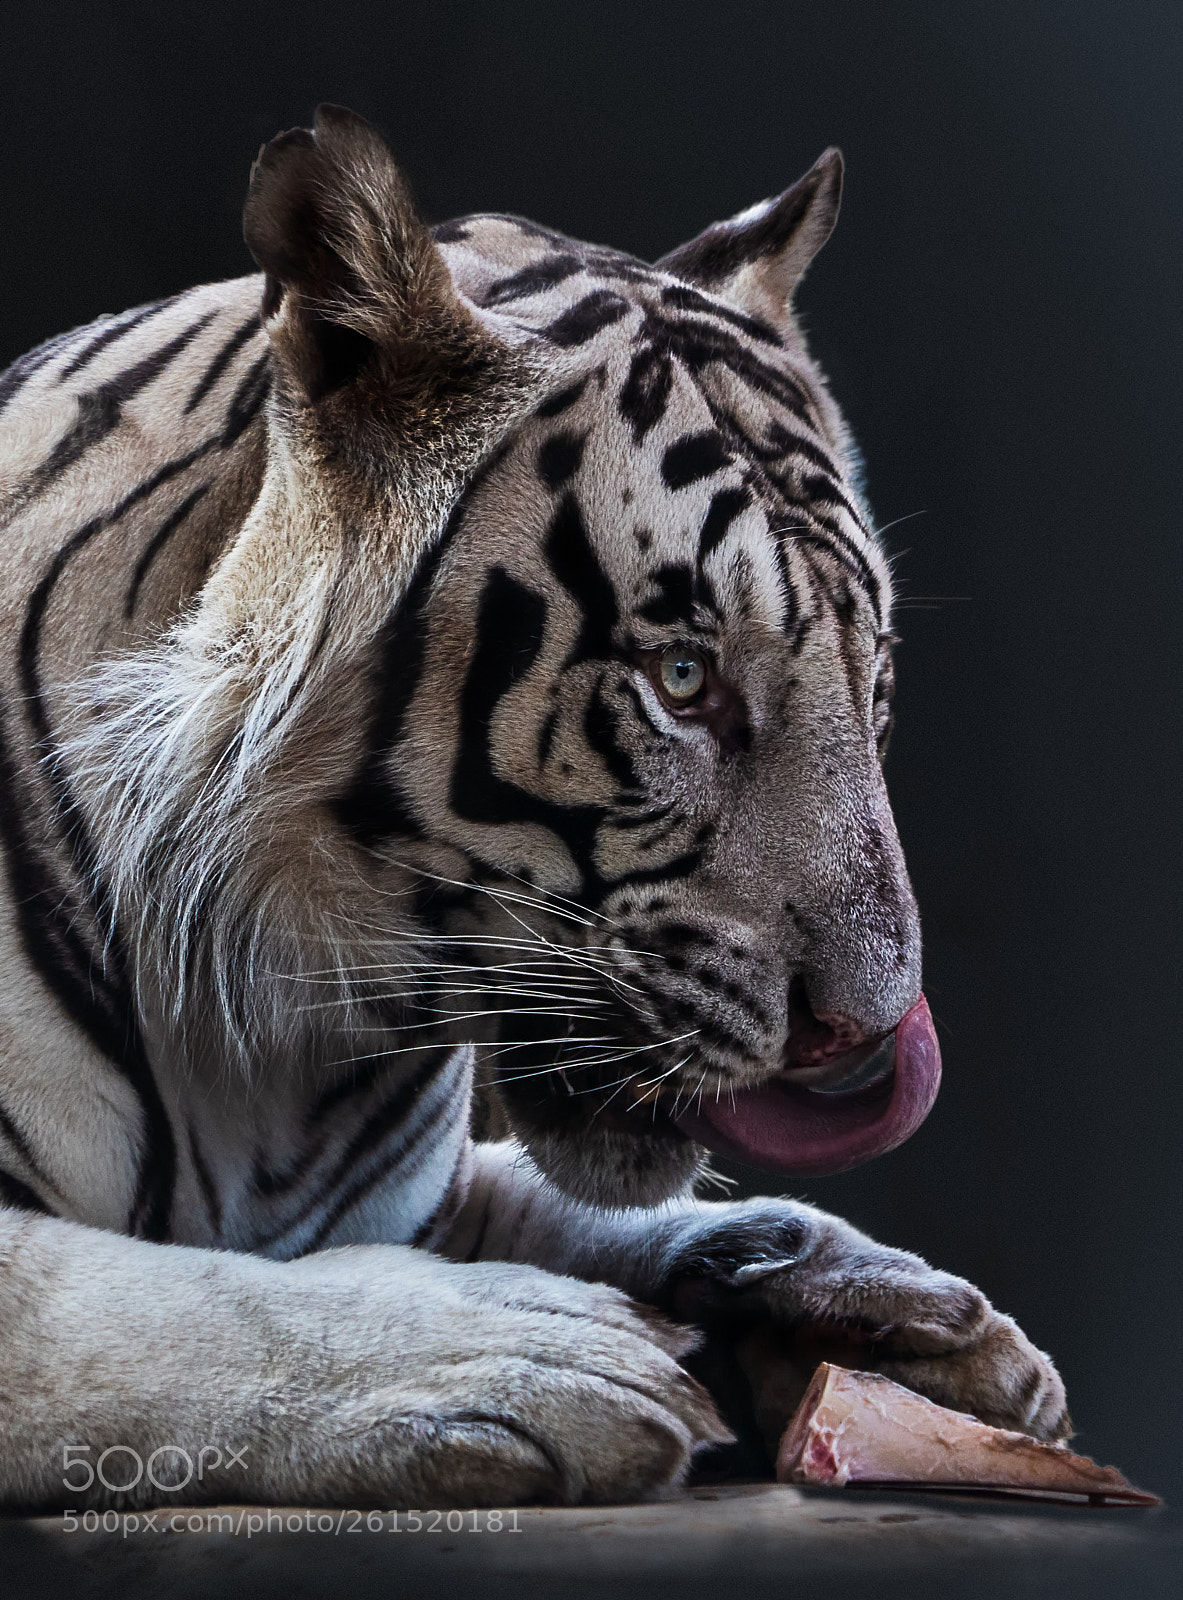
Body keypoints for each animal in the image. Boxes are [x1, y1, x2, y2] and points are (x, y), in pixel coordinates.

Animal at [0, 105, 1067, 1512]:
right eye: (683, 677)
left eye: (873, 680)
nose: (865, 1037)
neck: (267, 1057)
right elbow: (131, 1301)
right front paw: (521, 1353)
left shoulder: (438, 1183)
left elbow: (560, 1200)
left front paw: (889, 1304)